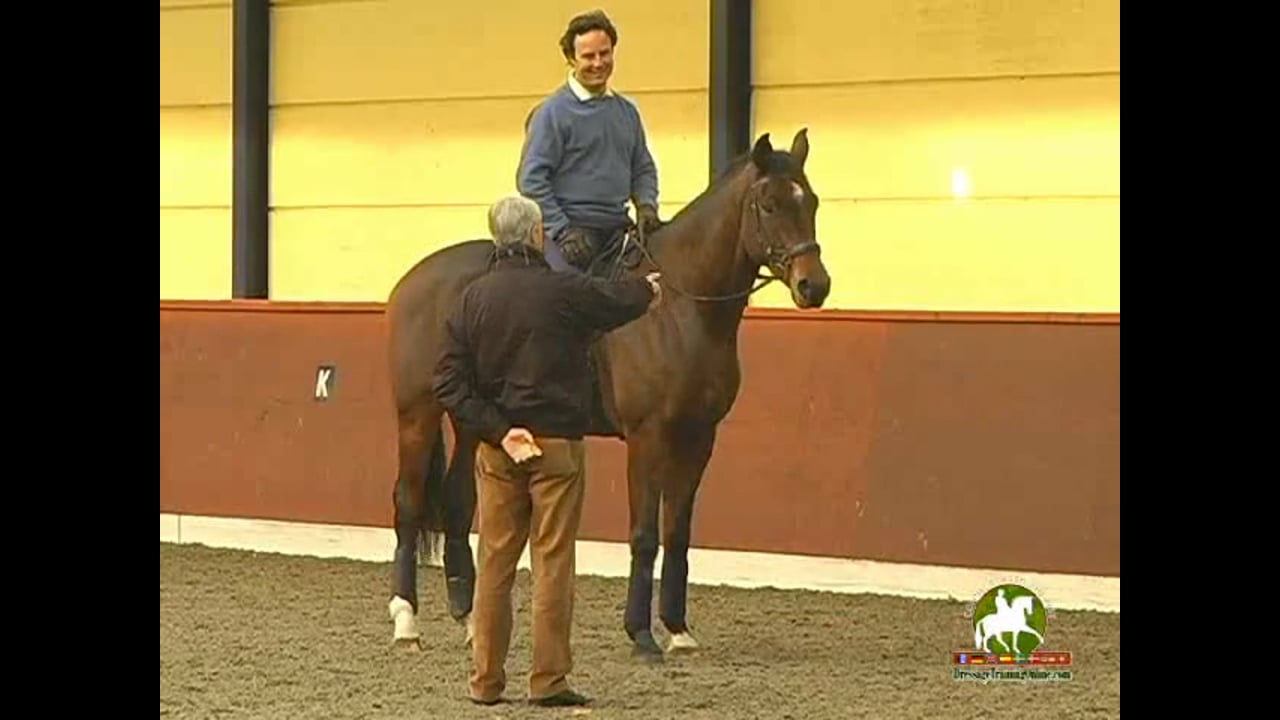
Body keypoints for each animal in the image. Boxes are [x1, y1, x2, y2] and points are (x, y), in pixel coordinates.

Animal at [383, 128, 832, 662]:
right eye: (768, 204)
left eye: (812, 201)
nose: (814, 285)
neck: (679, 309)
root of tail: (413, 282)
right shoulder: (647, 438)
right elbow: (644, 535)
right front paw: (641, 635)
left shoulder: (699, 438)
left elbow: (677, 532)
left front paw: (677, 629)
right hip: (417, 414)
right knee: (409, 502)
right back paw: (406, 620)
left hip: (475, 420)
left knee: (455, 501)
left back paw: (472, 620)